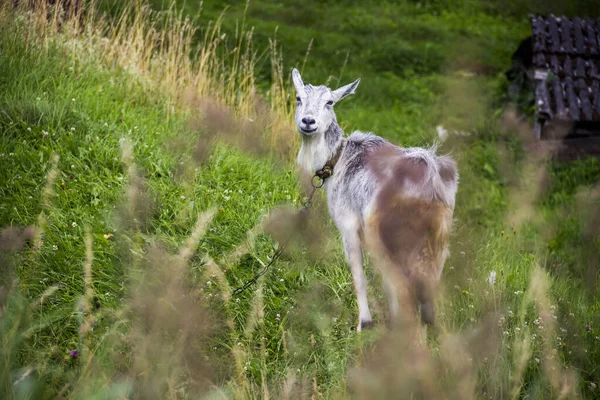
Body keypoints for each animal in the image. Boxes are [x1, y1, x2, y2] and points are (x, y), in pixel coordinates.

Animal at [292, 69, 460, 330]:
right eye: (298, 98)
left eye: (330, 102)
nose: (308, 122)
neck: (338, 161)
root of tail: (429, 185)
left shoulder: (348, 224)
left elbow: (359, 275)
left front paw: (364, 323)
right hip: (439, 239)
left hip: (388, 236)